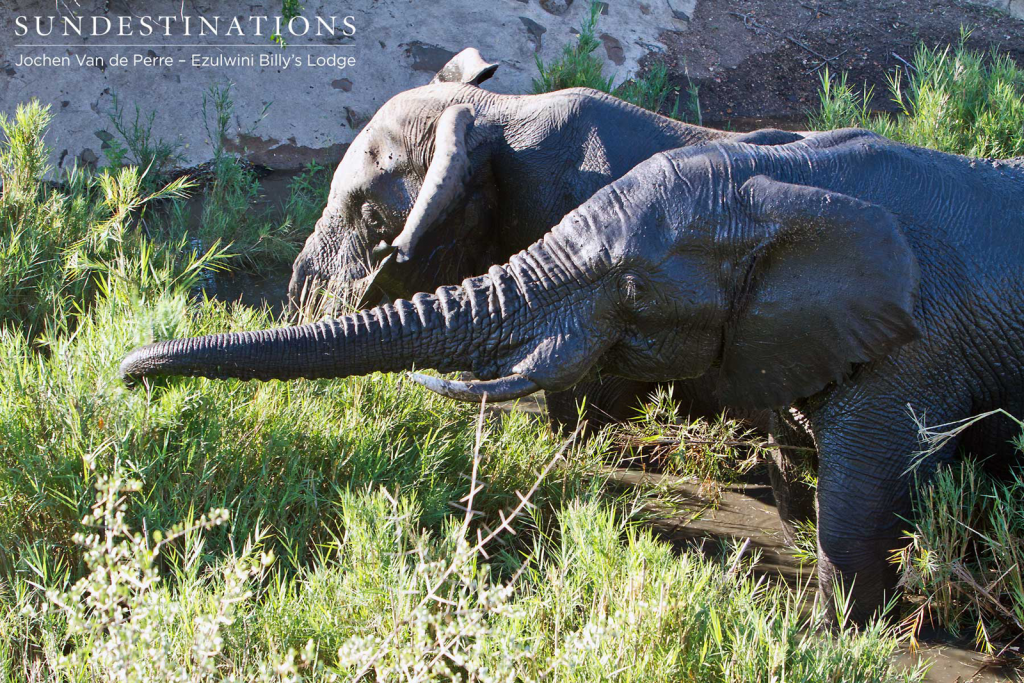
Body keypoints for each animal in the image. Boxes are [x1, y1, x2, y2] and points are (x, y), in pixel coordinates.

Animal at [123, 129, 1024, 626]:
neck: (791, 179)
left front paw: (836, 638)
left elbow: (859, 510)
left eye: (628, 283)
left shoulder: (920, 346)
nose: (129, 370)